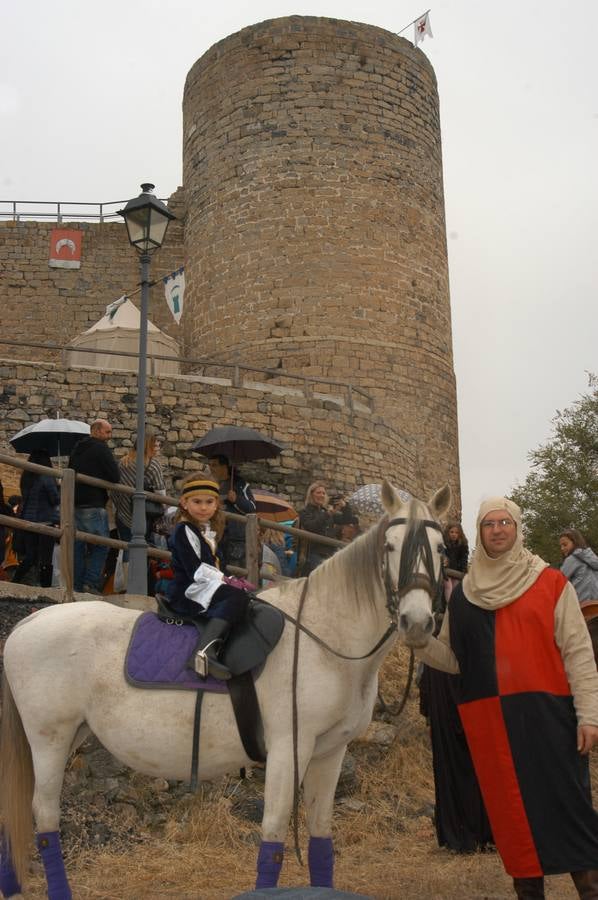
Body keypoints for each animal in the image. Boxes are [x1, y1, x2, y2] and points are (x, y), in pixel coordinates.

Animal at [0, 482, 450, 896]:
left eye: (441, 549)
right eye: (389, 546)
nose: (416, 622)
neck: (323, 637)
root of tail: (27, 623)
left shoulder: (330, 752)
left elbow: (322, 839)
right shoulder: (289, 748)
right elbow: (273, 839)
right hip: (49, 740)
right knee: (45, 818)